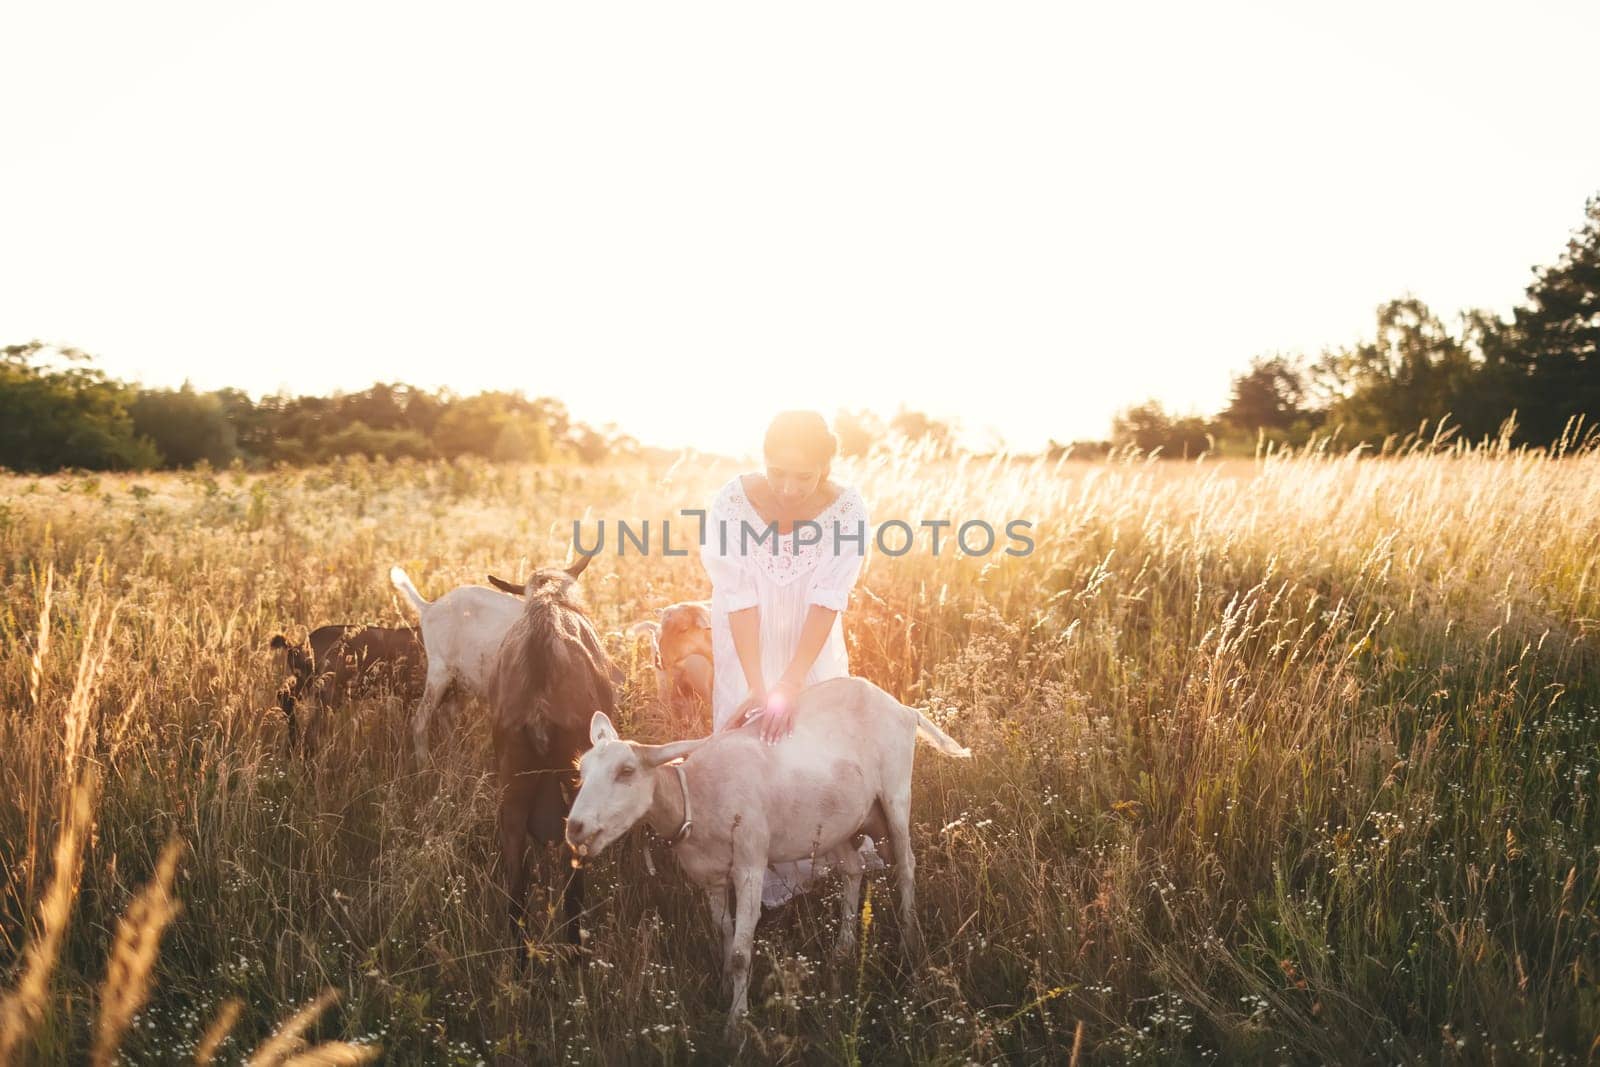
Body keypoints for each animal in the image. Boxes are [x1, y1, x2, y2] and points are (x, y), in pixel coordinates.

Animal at [272, 620, 428, 748]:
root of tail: (296, 648)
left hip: (307, 684)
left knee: (285, 696)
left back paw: (292, 745)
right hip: (328, 693)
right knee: (311, 730)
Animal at [392, 566, 521, 758]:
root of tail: (429, 607)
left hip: (465, 682)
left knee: (447, 714)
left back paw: (455, 756)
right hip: (440, 672)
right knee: (420, 721)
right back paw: (425, 764)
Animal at [486, 556, 611, 953]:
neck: (548, 601)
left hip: (513, 788)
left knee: (516, 890)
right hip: (572, 784)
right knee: (572, 886)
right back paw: (574, 948)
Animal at [569, 681, 966, 1036]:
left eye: (626, 771)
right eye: (581, 772)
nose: (575, 827)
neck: (695, 796)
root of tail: (903, 708)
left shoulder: (750, 863)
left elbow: (742, 952)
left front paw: (736, 1023)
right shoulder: (710, 876)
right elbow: (724, 932)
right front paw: (725, 989)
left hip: (895, 794)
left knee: (905, 866)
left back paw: (910, 943)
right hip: (835, 821)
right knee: (853, 870)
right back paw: (843, 949)